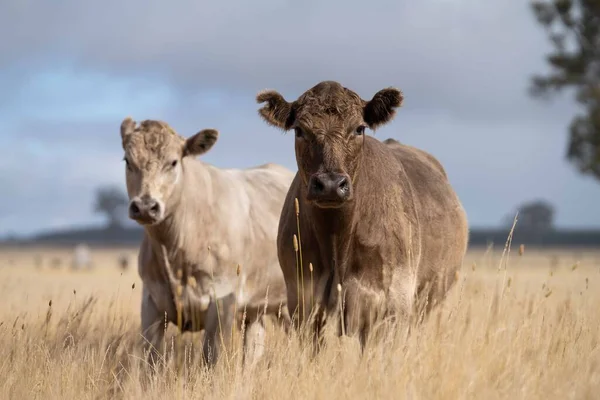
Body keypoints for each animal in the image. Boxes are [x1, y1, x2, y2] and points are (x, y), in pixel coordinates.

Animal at [119, 117, 292, 368]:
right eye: (128, 161)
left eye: (173, 162)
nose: (144, 206)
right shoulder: (151, 303)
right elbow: (151, 360)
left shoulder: (222, 300)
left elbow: (212, 359)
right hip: (258, 305)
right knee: (254, 348)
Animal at [253, 80, 468, 350]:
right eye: (299, 130)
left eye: (359, 128)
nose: (330, 184)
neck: (337, 242)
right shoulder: (303, 305)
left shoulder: (387, 308)